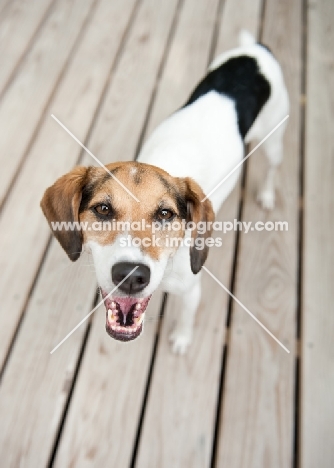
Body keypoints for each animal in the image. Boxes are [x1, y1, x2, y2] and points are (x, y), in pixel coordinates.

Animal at [41, 32, 288, 354]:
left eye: (165, 214)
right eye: (103, 209)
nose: (131, 276)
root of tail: (255, 49)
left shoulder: (191, 290)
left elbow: (186, 318)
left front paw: (181, 339)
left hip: (274, 142)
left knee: (272, 168)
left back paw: (268, 194)